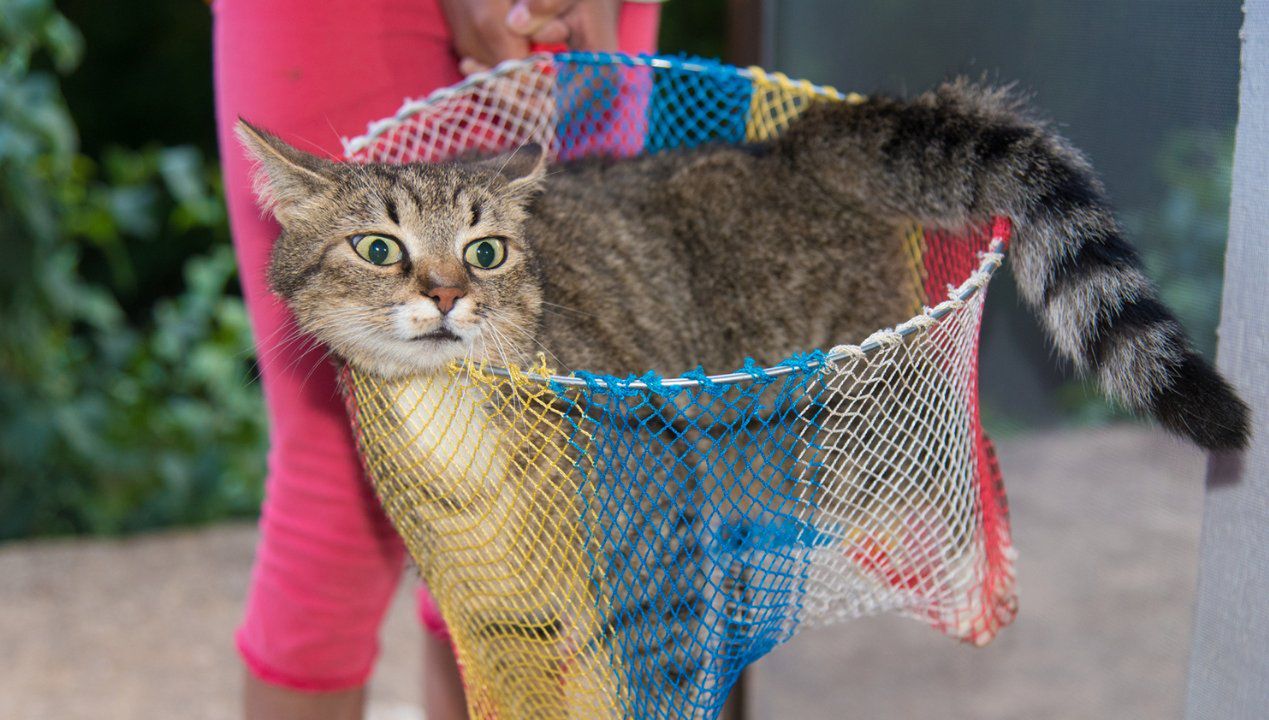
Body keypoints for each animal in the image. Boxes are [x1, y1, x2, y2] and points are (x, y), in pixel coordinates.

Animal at [238, 78, 1248, 716]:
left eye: (486, 251)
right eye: (378, 248)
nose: (448, 294)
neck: (456, 439)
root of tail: (793, 143)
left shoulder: (649, 592)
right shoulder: (502, 622)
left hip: (847, 430)